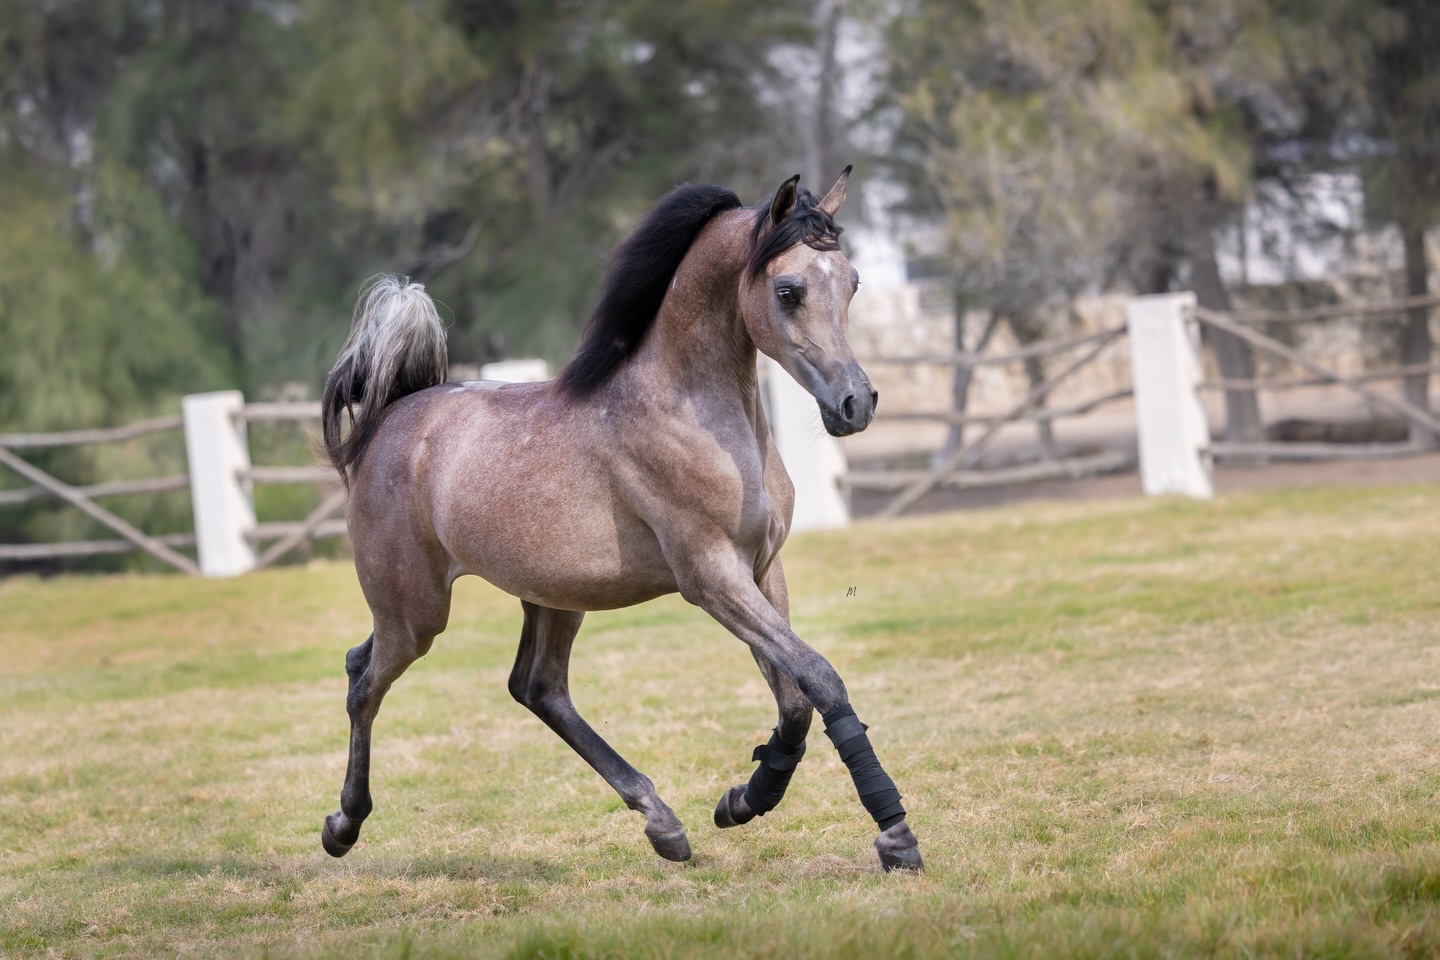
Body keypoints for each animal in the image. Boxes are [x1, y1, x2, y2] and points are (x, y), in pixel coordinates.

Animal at [318, 167, 923, 872]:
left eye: (851, 281)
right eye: (788, 290)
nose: (856, 403)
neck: (692, 412)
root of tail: (390, 418)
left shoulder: (761, 570)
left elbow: (794, 700)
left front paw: (744, 800)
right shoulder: (712, 577)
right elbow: (820, 679)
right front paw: (895, 835)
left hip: (550, 596)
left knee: (534, 688)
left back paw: (662, 822)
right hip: (414, 613)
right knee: (365, 681)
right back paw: (343, 825)